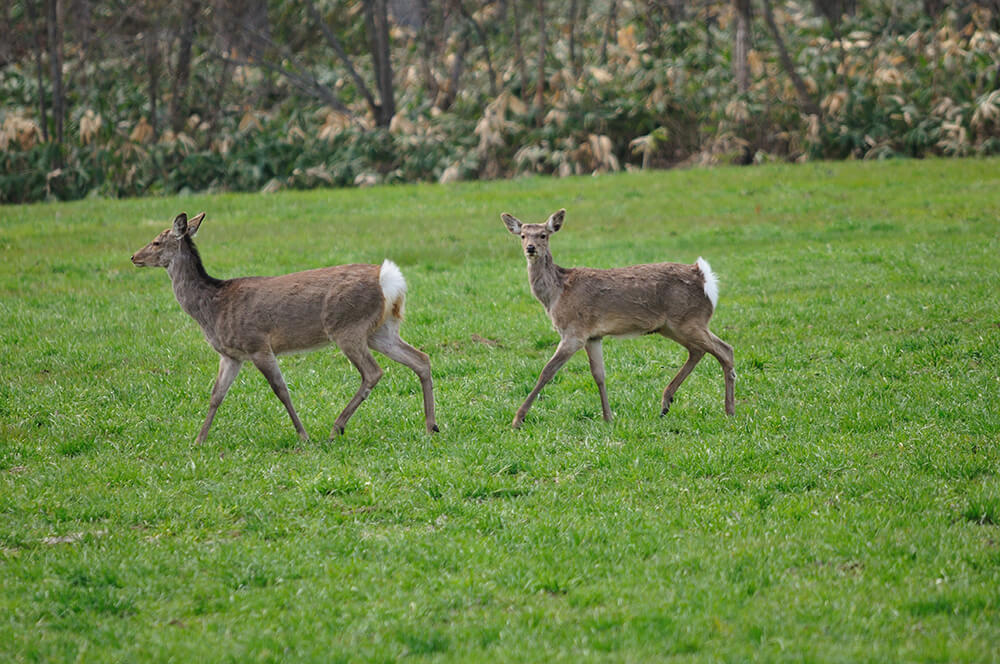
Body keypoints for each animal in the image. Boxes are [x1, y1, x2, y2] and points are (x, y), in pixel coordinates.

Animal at [130, 211, 438, 440]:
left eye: (156, 242)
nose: (134, 256)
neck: (211, 309)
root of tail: (390, 280)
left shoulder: (257, 344)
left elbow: (281, 390)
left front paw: (303, 436)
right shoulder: (231, 355)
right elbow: (216, 395)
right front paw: (198, 440)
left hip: (346, 326)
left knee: (373, 372)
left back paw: (336, 427)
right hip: (380, 330)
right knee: (421, 358)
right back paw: (430, 426)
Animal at [500, 209, 736, 430]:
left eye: (543, 234)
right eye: (522, 235)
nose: (531, 248)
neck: (556, 294)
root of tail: (705, 278)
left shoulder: (573, 332)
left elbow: (547, 371)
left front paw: (517, 419)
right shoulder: (593, 336)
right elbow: (599, 375)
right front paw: (608, 417)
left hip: (689, 320)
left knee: (725, 350)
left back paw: (729, 411)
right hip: (672, 326)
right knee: (699, 350)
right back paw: (665, 403)